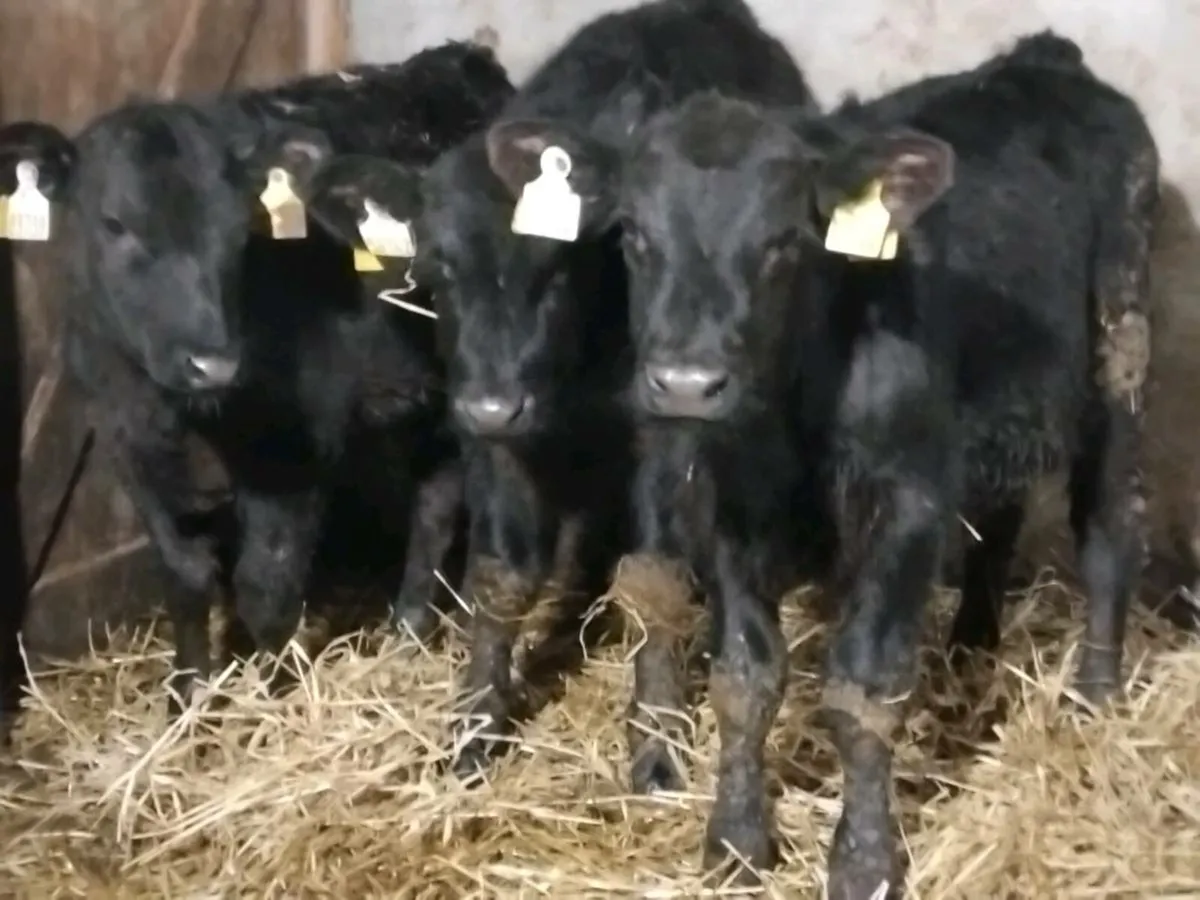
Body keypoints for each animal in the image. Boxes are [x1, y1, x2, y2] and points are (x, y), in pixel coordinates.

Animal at [0, 40, 514, 719]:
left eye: (237, 230)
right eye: (113, 223)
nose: (212, 362)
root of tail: (460, 59)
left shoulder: (294, 445)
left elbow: (266, 585)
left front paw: (269, 699)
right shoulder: (126, 435)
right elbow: (185, 572)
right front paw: (187, 697)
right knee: (436, 495)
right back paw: (407, 627)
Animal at [293, 0, 817, 781]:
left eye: (557, 265)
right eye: (439, 269)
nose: (492, 405)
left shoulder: (671, 428)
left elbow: (657, 580)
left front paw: (655, 737)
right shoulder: (498, 437)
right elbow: (500, 576)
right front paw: (476, 721)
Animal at [488, 29, 1158, 896]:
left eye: (783, 244)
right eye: (634, 236)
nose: (686, 383)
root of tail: (1044, 61)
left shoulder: (905, 497)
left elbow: (863, 687)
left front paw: (864, 860)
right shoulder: (733, 504)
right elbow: (745, 678)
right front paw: (736, 839)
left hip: (1121, 353)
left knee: (1108, 528)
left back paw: (1094, 698)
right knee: (998, 519)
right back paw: (970, 658)